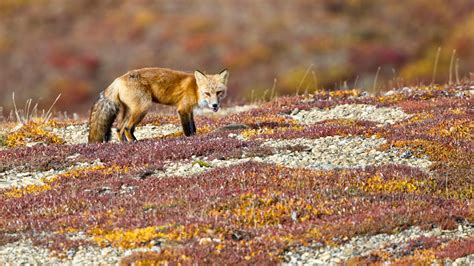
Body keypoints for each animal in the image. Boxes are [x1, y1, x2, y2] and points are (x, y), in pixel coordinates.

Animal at [89, 67, 230, 143]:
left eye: (219, 92)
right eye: (207, 93)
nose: (215, 105)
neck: (195, 89)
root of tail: (118, 79)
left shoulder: (189, 110)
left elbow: (193, 127)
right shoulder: (183, 109)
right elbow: (187, 129)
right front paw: (190, 139)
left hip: (128, 111)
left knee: (119, 128)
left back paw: (124, 143)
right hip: (142, 107)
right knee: (128, 128)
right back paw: (135, 142)